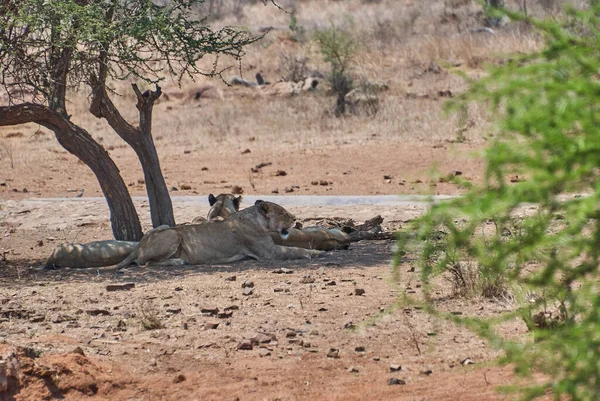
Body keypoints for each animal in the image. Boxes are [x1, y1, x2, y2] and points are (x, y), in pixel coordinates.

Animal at [116, 200, 324, 268]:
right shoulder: (270, 253)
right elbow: (295, 249)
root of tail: (138, 246)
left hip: (164, 227)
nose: (295, 219)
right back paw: (177, 261)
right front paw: (316, 253)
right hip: (172, 235)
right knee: (144, 263)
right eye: (283, 214)